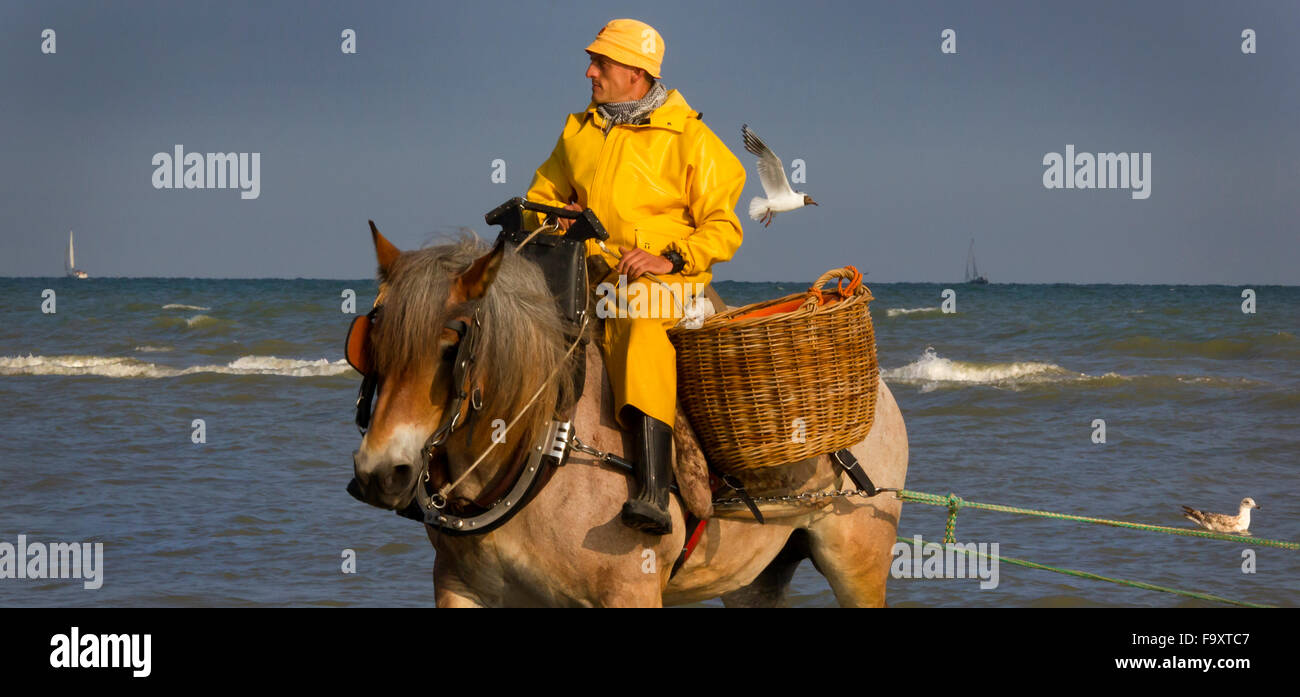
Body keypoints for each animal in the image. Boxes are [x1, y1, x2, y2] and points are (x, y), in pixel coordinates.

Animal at [348, 225, 910, 607]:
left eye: (452, 349)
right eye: (371, 342)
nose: (381, 472)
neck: (544, 449)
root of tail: (879, 388)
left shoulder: (629, 593)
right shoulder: (461, 589)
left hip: (858, 561)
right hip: (756, 577)